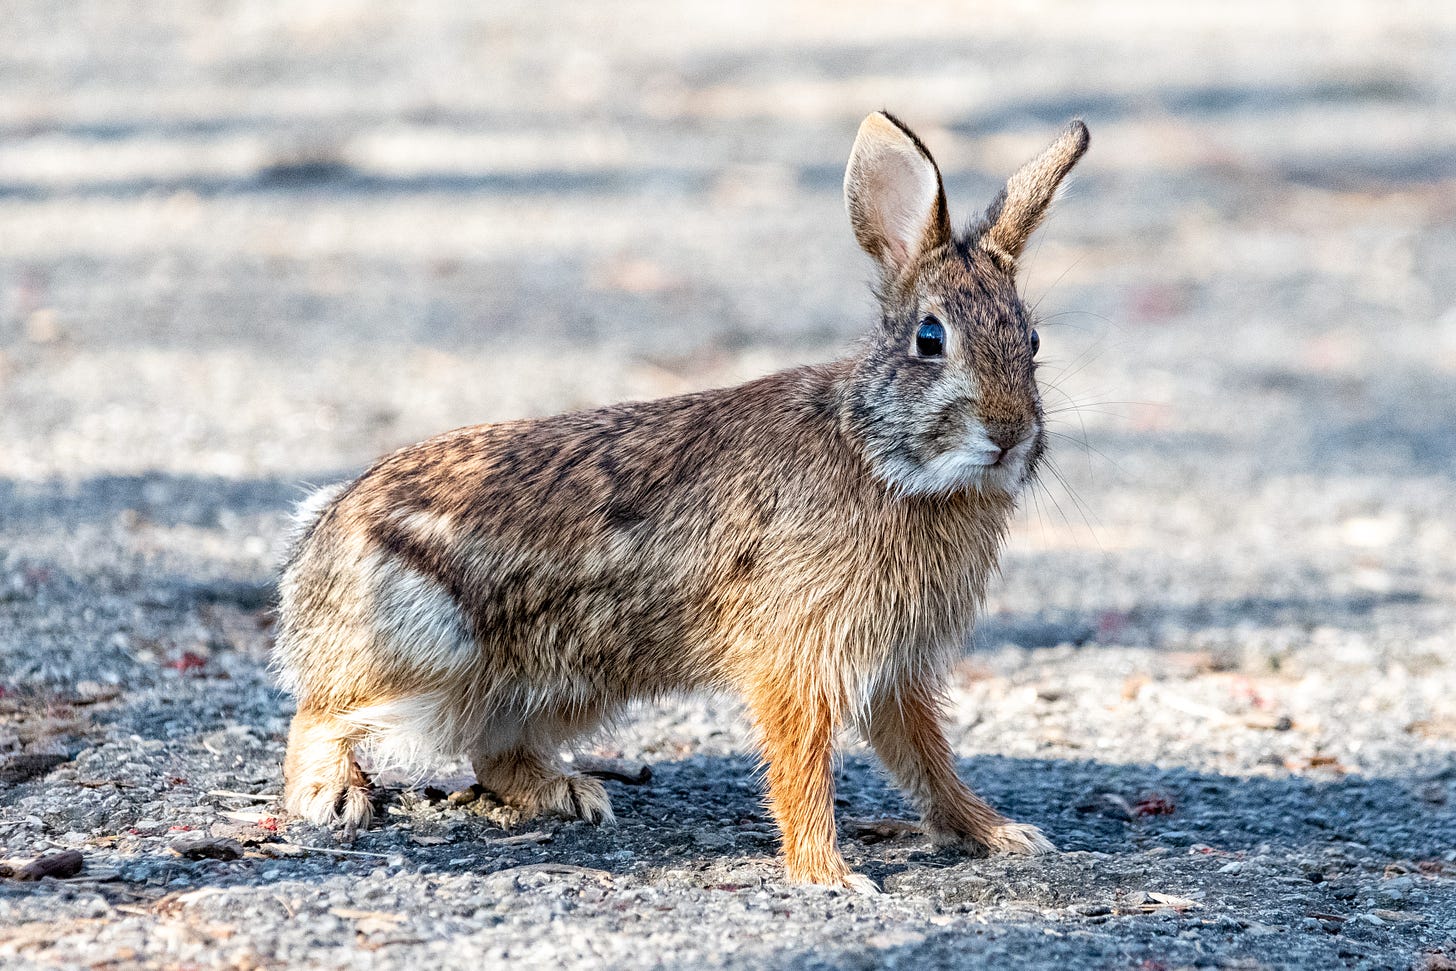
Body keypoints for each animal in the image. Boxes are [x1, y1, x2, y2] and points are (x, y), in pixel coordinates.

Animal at [275, 109, 1094, 890]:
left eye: (1032, 341)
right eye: (930, 339)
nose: (1010, 434)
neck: (873, 449)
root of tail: (322, 539)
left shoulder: (895, 664)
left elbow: (927, 757)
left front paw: (997, 834)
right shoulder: (800, 653)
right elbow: (803, 759)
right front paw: (826, 875)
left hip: (569, 678)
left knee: (489, 750)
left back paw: (569, 792)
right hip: (428, 652)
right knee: (320, 713)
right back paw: (332, 795)